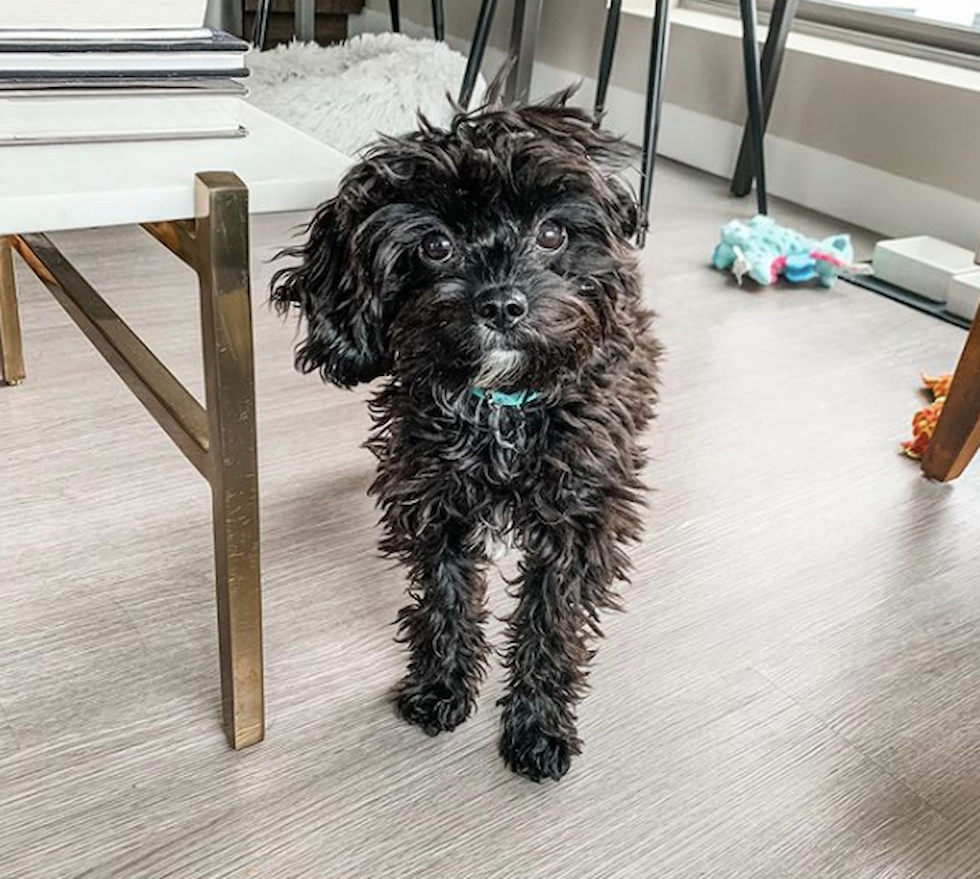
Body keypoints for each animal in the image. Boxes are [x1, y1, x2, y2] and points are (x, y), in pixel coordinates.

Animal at [272, 91, 664, 784]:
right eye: (435, 245)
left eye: (553, 233)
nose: (503, 305)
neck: (501, 407)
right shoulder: (434, 502)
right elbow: (446, 600)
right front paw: (441, 688)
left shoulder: (578, 520)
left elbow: (551, 622)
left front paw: (538, 727)